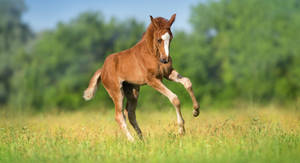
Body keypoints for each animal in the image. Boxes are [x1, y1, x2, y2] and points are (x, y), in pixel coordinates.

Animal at [82, 13, 199, 141]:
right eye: (159, 39)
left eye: (171, 38)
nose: (165, 60)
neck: (152, 54)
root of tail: (102, 69)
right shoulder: (152, 80)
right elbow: (174, 98)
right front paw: (181, 130)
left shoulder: (168, 73)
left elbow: (187, 82)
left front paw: (196, 111)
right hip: (116, 91)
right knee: (119, 115)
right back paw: (132, 141)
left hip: (133, 91)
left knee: (130, 113)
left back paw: (142, 139)